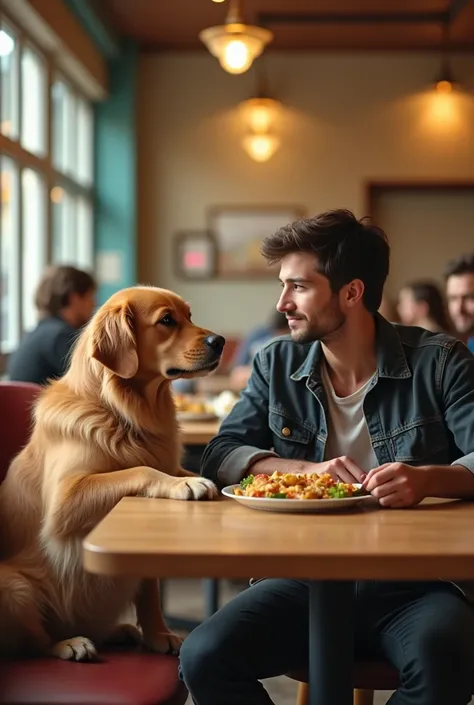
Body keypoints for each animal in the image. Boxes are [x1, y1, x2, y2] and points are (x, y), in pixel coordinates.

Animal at [0, 286, 224, 660]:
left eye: (189, 316)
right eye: (167, 320)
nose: (219, 341)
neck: (121, 413)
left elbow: (150, 591)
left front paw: (158, 634)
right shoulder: (66, 498)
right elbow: (141, 469)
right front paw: (187, 484)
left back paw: (120, 630)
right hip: (15, 588)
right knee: (36, 642)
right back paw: (69, 643)